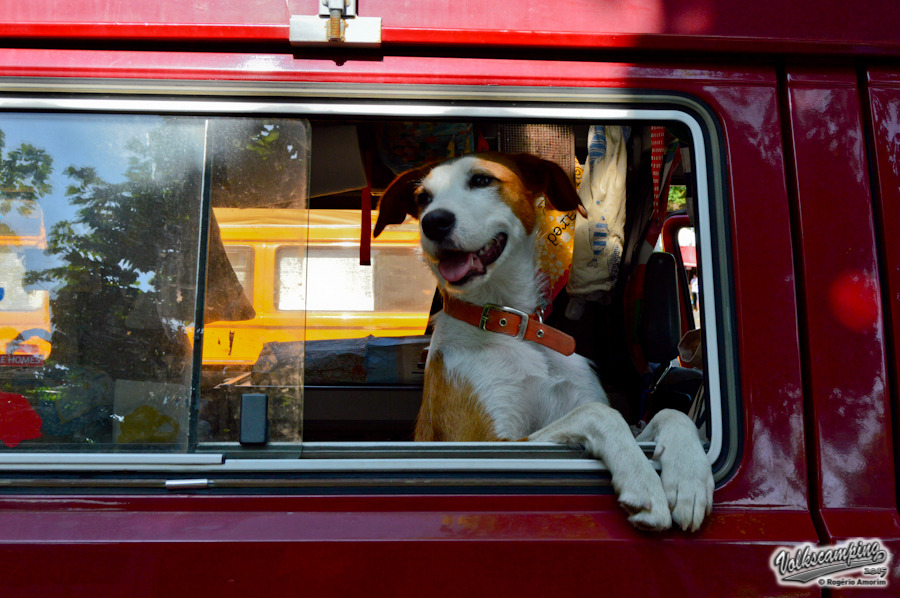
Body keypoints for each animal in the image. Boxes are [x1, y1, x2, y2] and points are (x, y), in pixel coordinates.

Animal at [370, 152, 712, 532]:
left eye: (481, 180)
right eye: (422, 198)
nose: (434, 222)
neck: (513, 326)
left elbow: (668, 413)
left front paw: (688, 476)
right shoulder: (488, 443)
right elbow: (599, 414)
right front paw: (642, 479)